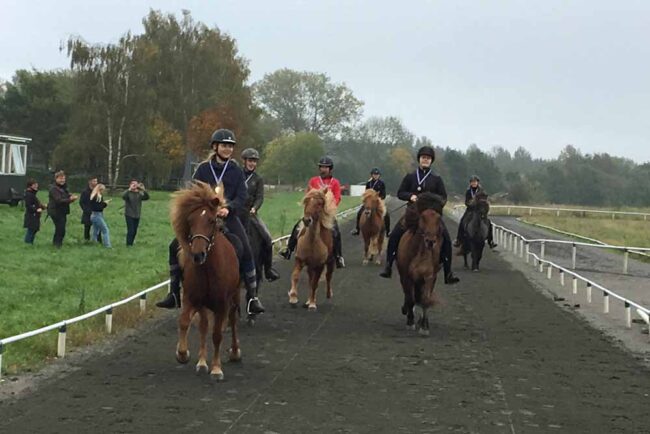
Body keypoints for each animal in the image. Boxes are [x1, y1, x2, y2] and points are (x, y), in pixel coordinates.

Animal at [170, 181, 241, 381]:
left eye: (211, 220)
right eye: (190, 221)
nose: (197, 255)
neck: (209, 269)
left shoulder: (222, 304)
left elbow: (217, 334)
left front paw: (216, 369)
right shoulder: (191, 299)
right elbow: (184, 322)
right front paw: (183, 354)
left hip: (235, 297)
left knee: (233, 320)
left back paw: (235, 352)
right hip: (203, 305)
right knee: (203, 326)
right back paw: (202, 363)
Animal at [396, 193, 444, 335]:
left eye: (438, 218)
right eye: (422, 216)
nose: (430, 241)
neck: (421, 253)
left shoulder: (429, 277)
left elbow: (425, 299)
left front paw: (424, 327)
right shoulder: (407, 277)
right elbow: (410, 299)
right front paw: (410, 322)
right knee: (409, 296)